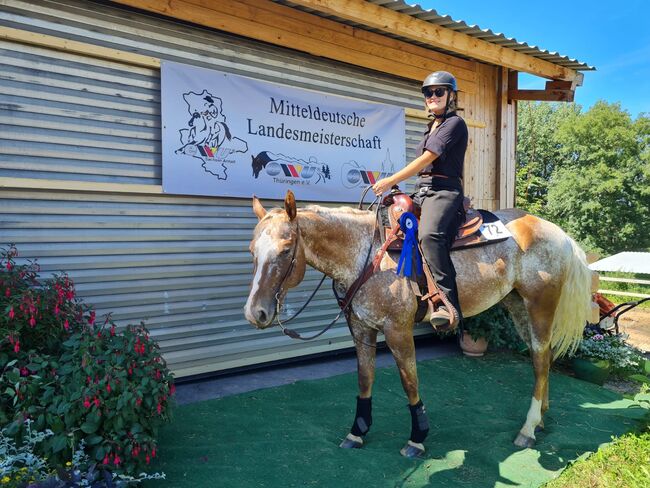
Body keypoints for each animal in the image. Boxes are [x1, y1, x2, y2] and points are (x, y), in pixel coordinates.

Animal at [242, 190, 592, 458]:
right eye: (252, 250)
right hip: (517, 304)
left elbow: (409, 381)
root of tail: (561, 235)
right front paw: (357, 432)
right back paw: (541, 420)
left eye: (286, 249)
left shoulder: (398, 329)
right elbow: (364, 379)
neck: (367, 253)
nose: (255, 313)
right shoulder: (362, 328)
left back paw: (528, 429)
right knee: (541, 358)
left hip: (540, 305)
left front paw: (417, 438)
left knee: (540, 358)